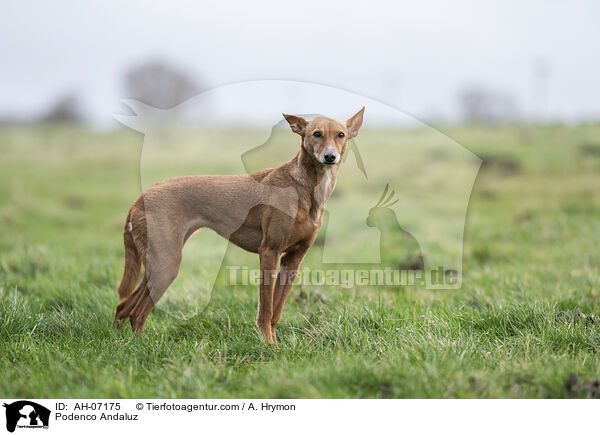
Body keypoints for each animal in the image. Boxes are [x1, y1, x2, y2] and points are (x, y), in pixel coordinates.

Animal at [113, 108, 366, 344]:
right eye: (316, 134)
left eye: (341, 135)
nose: (330, 156)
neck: (303, 187)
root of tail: (140, 198)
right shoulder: (269, 252)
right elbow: (266, 308)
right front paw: (268, 344)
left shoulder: (292, 260)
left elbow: (276, 309)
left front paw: (274, 341)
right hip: (166, 264)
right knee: (137, 313)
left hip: (156, 264)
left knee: (123, 307)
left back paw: (119, 341)